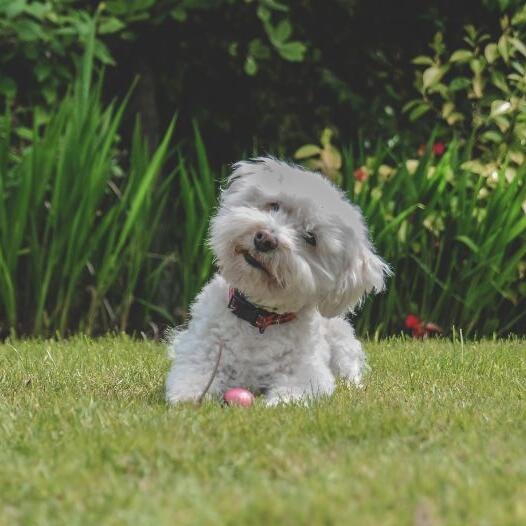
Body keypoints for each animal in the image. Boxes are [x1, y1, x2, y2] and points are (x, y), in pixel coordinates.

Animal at [167, 159, 390, 406]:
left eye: (311, 238)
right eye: (274, 206)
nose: (265, 239)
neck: (259, 319)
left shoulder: (307, 373)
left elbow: (295, 392)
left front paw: (277, 404)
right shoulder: (201, 353)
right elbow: (194, 377)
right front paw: (188, 399)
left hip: (342, 342)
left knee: (351, 370)